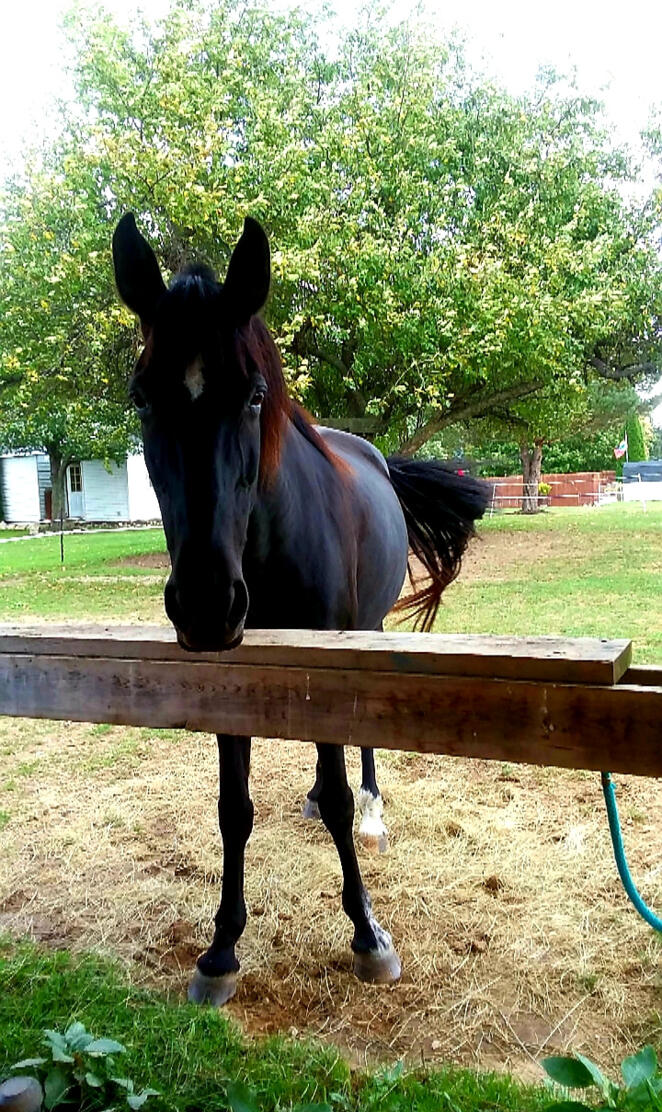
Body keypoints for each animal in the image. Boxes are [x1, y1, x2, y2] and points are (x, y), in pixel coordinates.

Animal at [112, 212, 490, 1006]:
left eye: (255, 395)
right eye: (142, 396)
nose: (205, 603)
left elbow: (343, 797)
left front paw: (367, 934)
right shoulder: (231, 680)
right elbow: (233, 810)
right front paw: (221, 948)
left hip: (363, 634)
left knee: (358, 757)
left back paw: (371, 809)